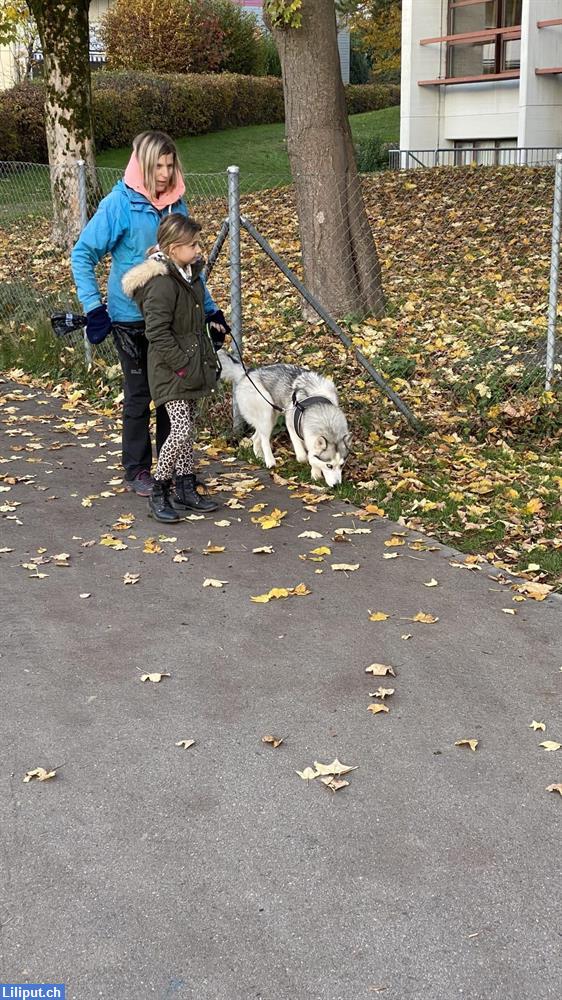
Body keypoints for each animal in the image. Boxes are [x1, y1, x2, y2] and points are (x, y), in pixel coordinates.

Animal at [215, 352, 350, 488]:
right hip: (267, 413)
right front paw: (311, 467)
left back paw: (259, 457)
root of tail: (247, 372)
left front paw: (315, 473)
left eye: (341, 465)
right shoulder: (291, 423)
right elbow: (304, 456)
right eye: (329, 465)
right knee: (264, 439)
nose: (337, 485)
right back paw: (270, 461)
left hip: (272, 416)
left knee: (256, 438)